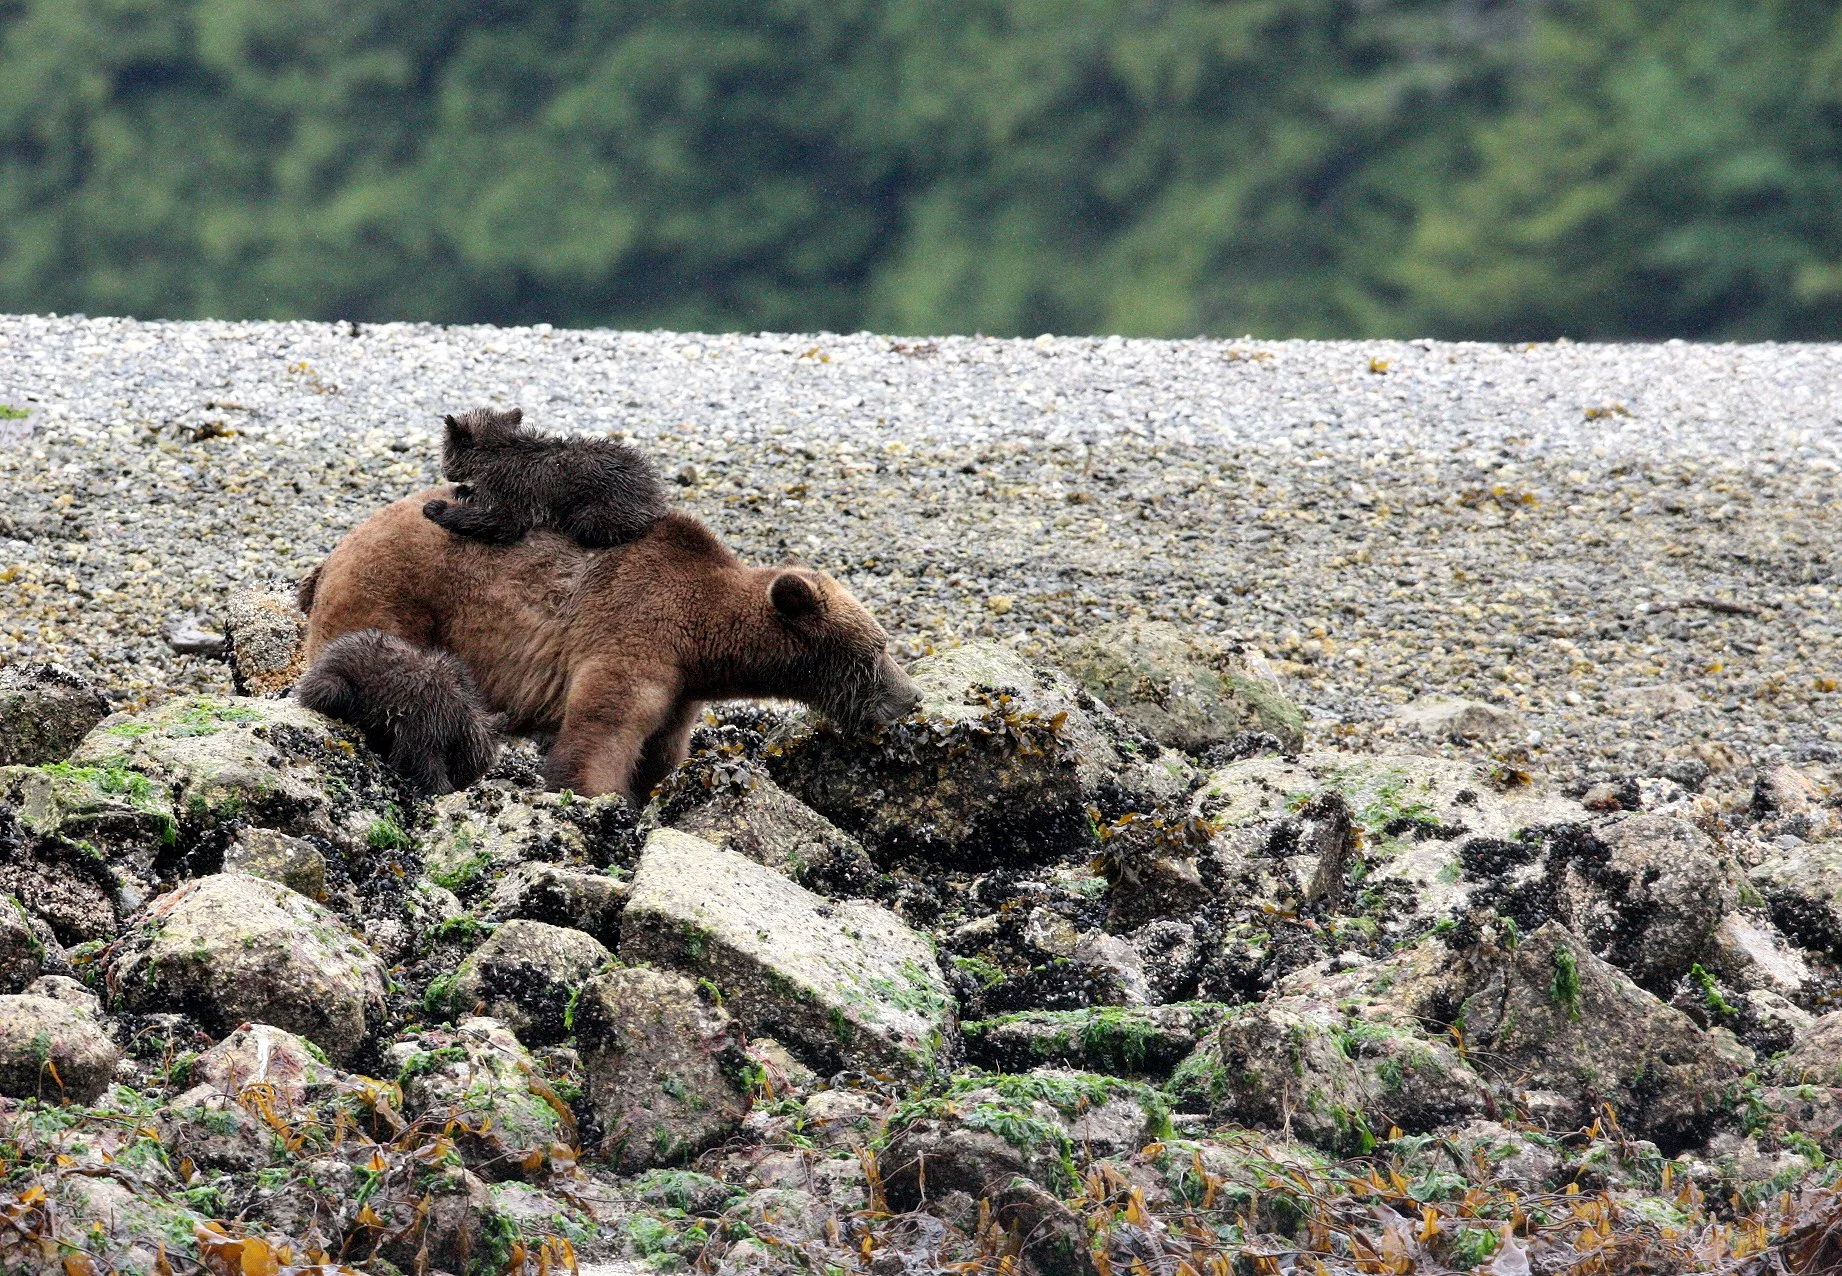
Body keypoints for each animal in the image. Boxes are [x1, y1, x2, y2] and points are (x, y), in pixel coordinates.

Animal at [294, 629, 502, 795]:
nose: (462, 785)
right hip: (337, 683)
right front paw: (441, 787)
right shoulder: (426, 719)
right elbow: (417, 755)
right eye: (470, 770)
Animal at [421, 405, 671, 548]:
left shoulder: (510, 486)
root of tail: (655, 497)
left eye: (445, 446)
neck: (495, 452)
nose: (445, 471)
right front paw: (464, 491)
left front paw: (437, 508)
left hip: (604, 505)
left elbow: (501, 522)